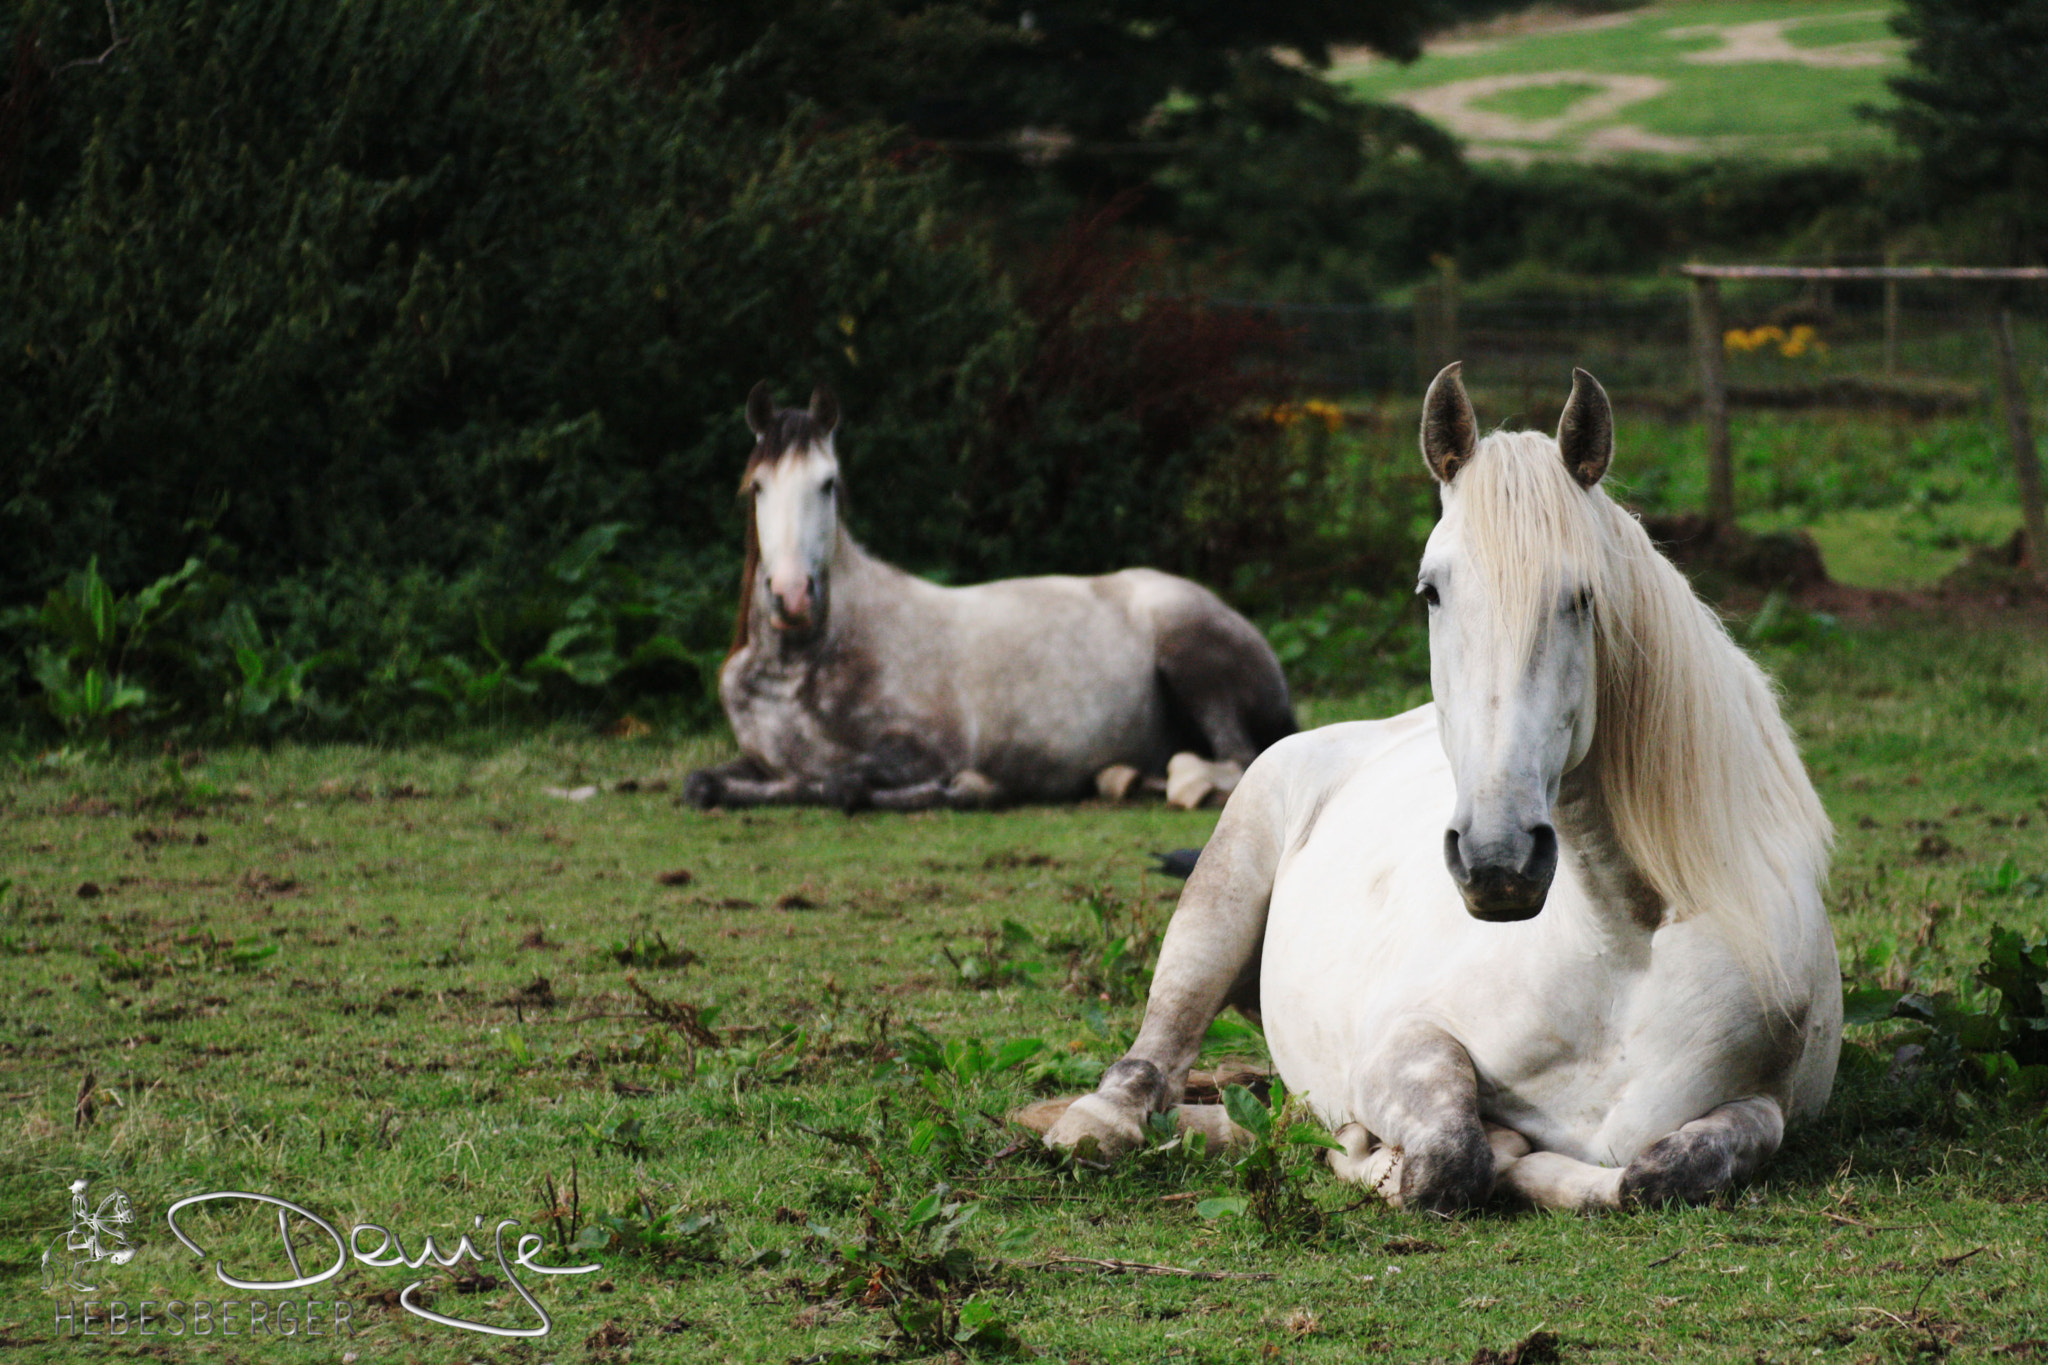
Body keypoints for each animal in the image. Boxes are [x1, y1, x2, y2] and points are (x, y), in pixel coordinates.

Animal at [688, 384, 1294, 810]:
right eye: (758, 487)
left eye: (828, 483)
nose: (792, 596)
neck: (798, 668)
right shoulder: (759, 760)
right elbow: (702, 784)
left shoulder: (925, 751)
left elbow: (841, 783)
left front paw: (970, 788)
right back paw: (1122, 778)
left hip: (1192, 656)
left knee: (1236, 763)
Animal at [1040, 368, 1843, 1211]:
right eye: (1430, 591)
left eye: (1582, 597)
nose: (1498, 859)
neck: (1624, 949)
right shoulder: (1402, 1045)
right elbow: (1451, 1155)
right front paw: (1378, 1152)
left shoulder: (1765, 1105)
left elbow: (1658, 1172)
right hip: (1217, 899)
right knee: (1157, 1054)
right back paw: (1100, 1124)